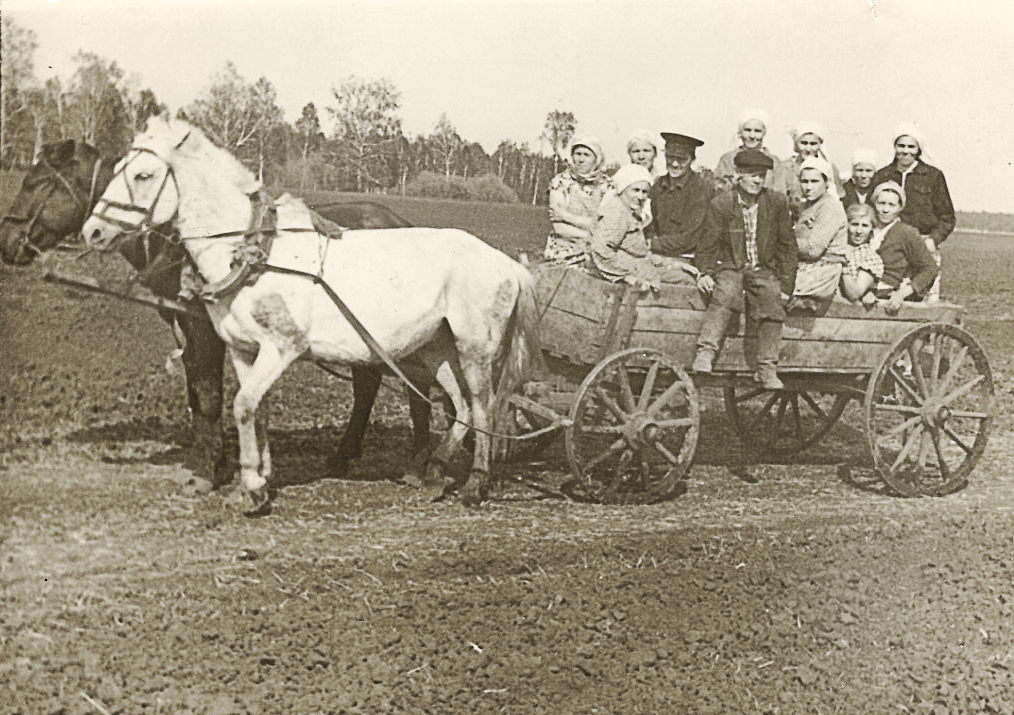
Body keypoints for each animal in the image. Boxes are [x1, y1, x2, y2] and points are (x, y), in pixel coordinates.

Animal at [0, 137, 431, 484]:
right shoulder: (188, 325)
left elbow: (207, 391)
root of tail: (400, 219)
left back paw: (414, 462)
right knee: (370, 384)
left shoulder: (204, 327)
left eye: (36, 183)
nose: (7, 241)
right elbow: (196, 390)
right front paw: (215, 460)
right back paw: (349, 455)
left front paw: (208, 468)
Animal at [83, 115, 543, 513]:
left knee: (482, 407)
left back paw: (474, 484)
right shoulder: (244, 349)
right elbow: (258, 409)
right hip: (435, 350)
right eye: (117, 168)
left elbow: (243, 405)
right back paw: (432, 474)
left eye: (143, 175)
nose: (92, 231)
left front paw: (251, 489)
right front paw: (261, 477)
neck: (253, 252)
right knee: (460, 407)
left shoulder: (282, 347)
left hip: (474, 349)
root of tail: (506, 262)